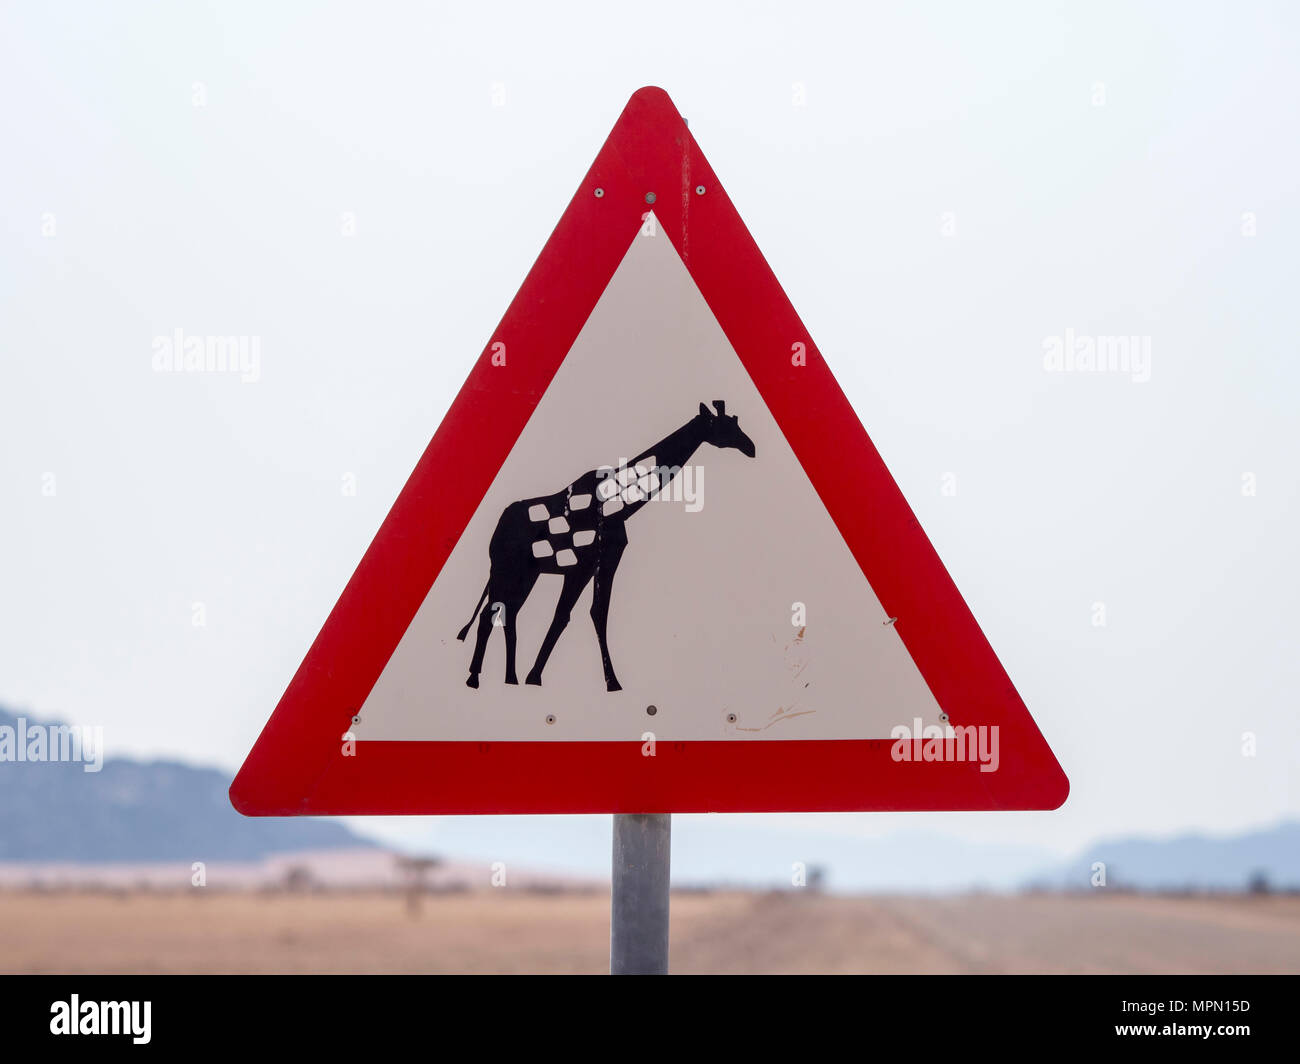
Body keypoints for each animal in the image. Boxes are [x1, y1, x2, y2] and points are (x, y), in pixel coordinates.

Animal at [457, 401, 757, 691]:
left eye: (736, 421)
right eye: (720, 424)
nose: (751, 448)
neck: (618, 509)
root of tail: (498, 526)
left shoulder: (603, 563)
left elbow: (587, 614)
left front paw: (534, 677)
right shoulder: (582, 566)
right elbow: (573, 615)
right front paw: (606, 682)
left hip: (527, 573)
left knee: (508, 613)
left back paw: (510, 678)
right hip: (505, 568)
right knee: (490, 613)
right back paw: (474, 678)